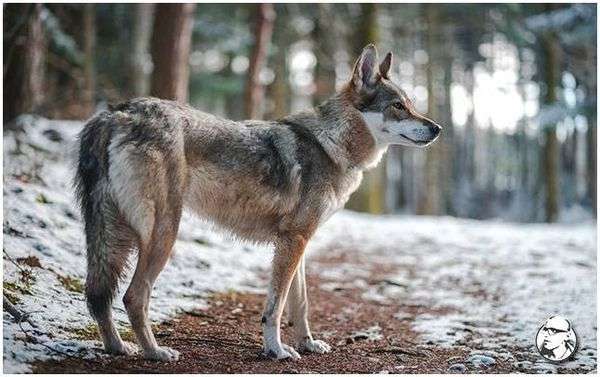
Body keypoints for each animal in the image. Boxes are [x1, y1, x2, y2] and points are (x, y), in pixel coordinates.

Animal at [74, 44, 440, 362]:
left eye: (411, 104)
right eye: (398, 106)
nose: (437, 128)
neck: (331, 145)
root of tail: (115, 112)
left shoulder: (299, 242)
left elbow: (300, 304)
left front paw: (307, 344)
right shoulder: (292, 241)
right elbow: (275, 307)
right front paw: (276, 350)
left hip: (115, 235)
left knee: (98, 296)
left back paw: (118, 348)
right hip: (162, 233)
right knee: (133, 296)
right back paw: (155, 352)